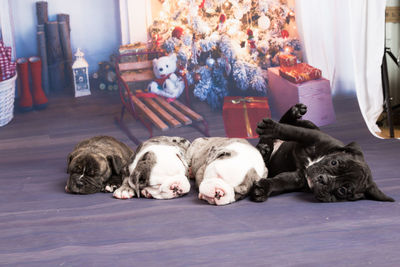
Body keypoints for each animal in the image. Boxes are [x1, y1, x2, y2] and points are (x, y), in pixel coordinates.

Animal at [252, 104, 396, 203]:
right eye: (334, 162)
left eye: (342, 190)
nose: (323, 178)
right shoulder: (312, 136)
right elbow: (290, 131)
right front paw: (271, 128)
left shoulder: (299, 177)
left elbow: (281, 181)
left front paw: (264, 189)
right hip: (310, 125)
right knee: (287, 124)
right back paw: (294, 113)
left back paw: (265, 149)